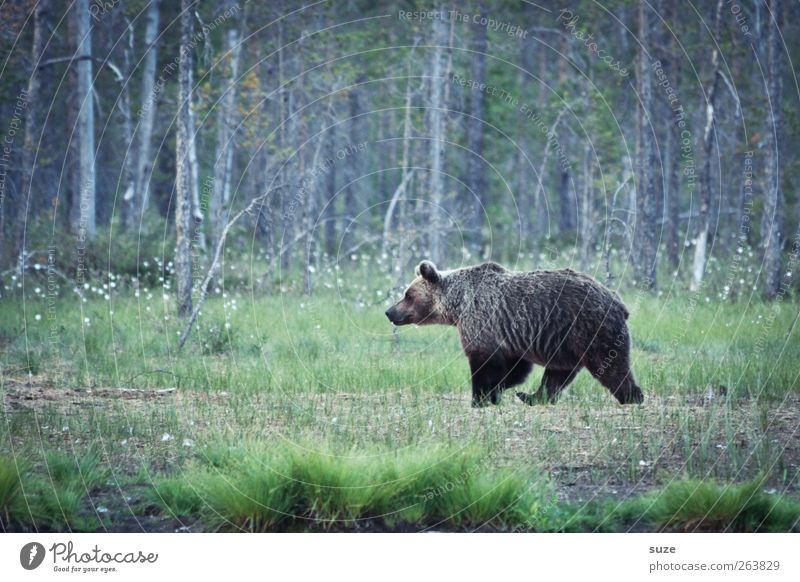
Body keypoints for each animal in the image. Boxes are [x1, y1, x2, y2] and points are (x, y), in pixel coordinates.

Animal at [388, 262, 644, 408]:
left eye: (407, 294)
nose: (389, 311)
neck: (458, 305)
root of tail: (618, 301)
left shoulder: (481, 322)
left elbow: (485, 365)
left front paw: (479, 399)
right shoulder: (508, 336)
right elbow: (515, 368)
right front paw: (497, 392)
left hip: (590, 329)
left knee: (609, 367)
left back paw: (632, 396)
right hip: (566, 341)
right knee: (558, 374)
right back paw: (532, 397)